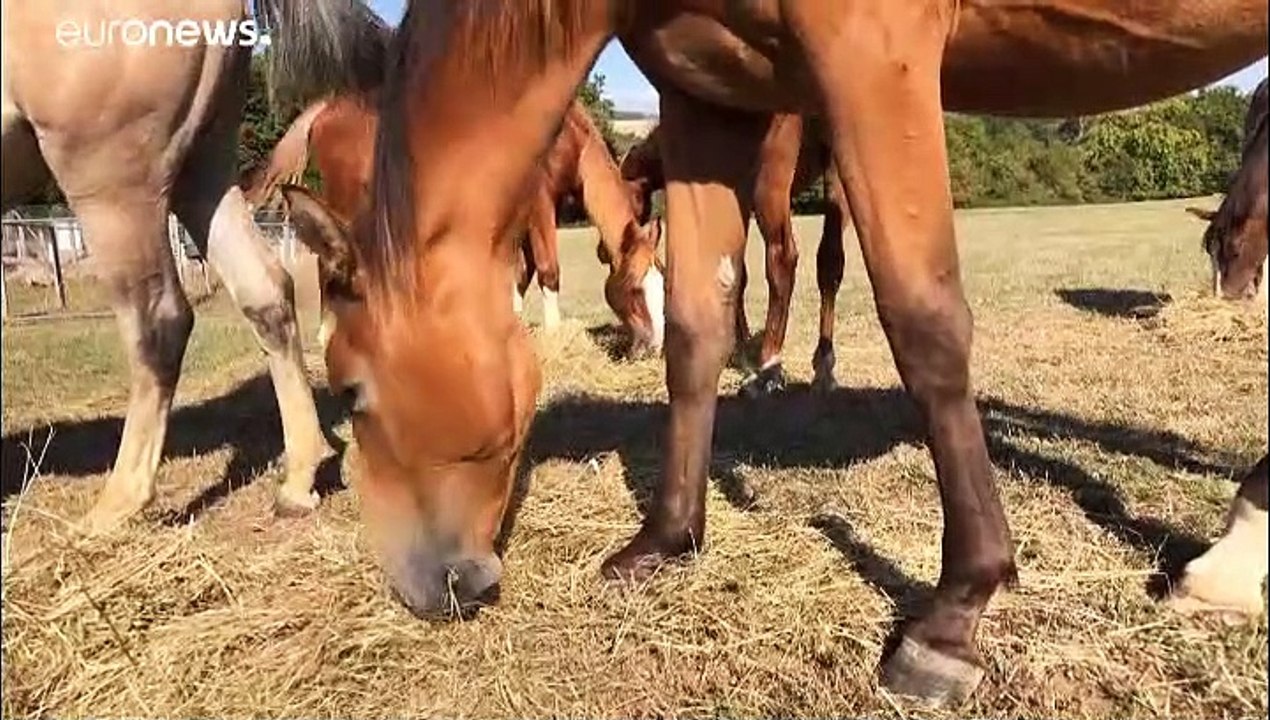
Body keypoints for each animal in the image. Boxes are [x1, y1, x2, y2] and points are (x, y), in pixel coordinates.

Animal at [1, 0, 335, 532]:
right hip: (205, 161)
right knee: (263, 289)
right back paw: (298, 484)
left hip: (112, 183)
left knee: (159, 320)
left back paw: (116, 503)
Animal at [243, 94, 665, 355]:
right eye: (634, 289)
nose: (654, 345)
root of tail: (328, 106)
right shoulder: (539, 201)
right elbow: (546, 269)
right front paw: (554, 334)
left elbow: (520, 271)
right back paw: (327, 331)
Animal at [620, 114, 853, 397]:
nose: (636, 351)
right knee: (830, 262)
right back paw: (823, 368)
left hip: (770, 178)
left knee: (782, 260)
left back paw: (769, 367)